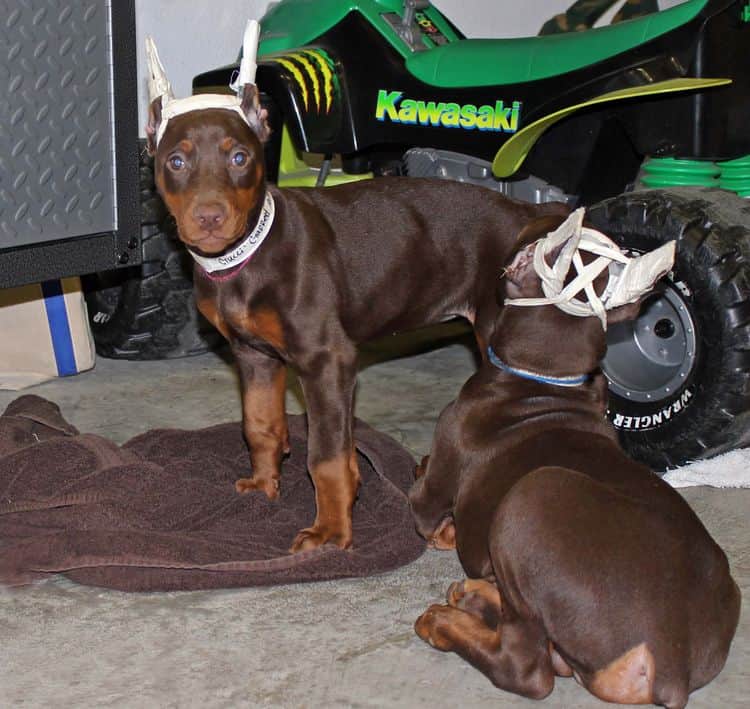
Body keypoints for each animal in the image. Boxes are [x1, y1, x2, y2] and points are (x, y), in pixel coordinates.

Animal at [144, 27, 568, 552]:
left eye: (240, 158)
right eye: (176, 161)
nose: (209, 218)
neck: (245, 258)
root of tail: (531, 216)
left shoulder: (326, 361)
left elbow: (324, 456)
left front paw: (331, 530)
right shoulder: (254, 355)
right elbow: (261, 425)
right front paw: (264, 486)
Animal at [412, 212, 740, 708]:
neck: (544, 381)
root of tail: (672, 664)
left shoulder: (441, 469)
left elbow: (424, 503)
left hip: (532, 497)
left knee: (529, 668)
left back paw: (447, 620)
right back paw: (476, 597)